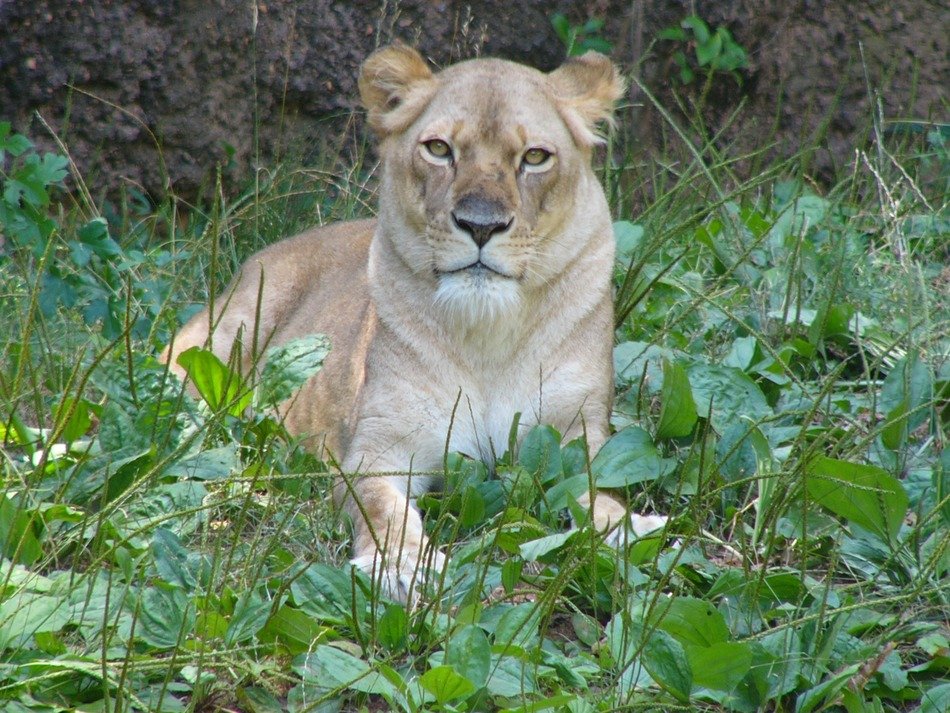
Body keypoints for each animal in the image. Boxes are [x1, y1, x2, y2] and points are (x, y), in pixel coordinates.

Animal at [163, 44, 667, 602]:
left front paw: (628, 530)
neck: (488, 337)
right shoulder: (377, 452)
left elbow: (593, 486)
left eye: (535, 157)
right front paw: (401, 566)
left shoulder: (578, 434)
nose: (481, 225)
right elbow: (384, 511)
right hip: (227, 332)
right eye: (440, 149)